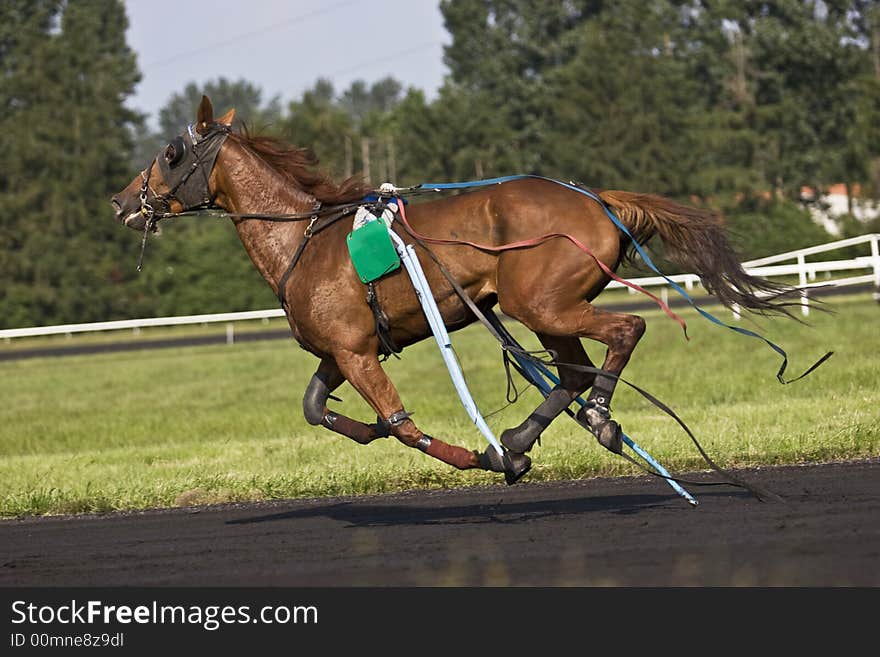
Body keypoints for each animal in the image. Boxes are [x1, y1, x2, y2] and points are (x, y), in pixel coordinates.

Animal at [110, 96, 796, 482]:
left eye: (171, 152)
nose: (122, 200)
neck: (306, 239)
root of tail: (598, 199)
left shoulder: (356, 353)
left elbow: (403, 425)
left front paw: (487, 457)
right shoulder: (343, 351)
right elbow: (315, 408)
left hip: (541, 303)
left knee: (626, 330)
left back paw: (592, 419)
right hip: (547, 311)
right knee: (571, 372)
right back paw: (523, 434)